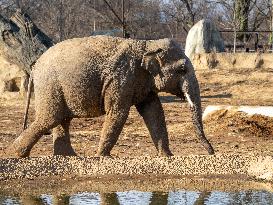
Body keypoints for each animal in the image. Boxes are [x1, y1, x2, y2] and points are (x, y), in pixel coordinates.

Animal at [9, 35, 215, 157]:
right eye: (182, 69)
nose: (212, 152)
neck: (147, 43)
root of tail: (35, 65)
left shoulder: (142, 82)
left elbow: (154, 111)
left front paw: (167, 156)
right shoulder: (121, 78)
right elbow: (118, 113)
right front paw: (102, 157)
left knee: (61, 119)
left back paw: (69, 157)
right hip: (49, 85)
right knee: (49, 118)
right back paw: (16, 154)